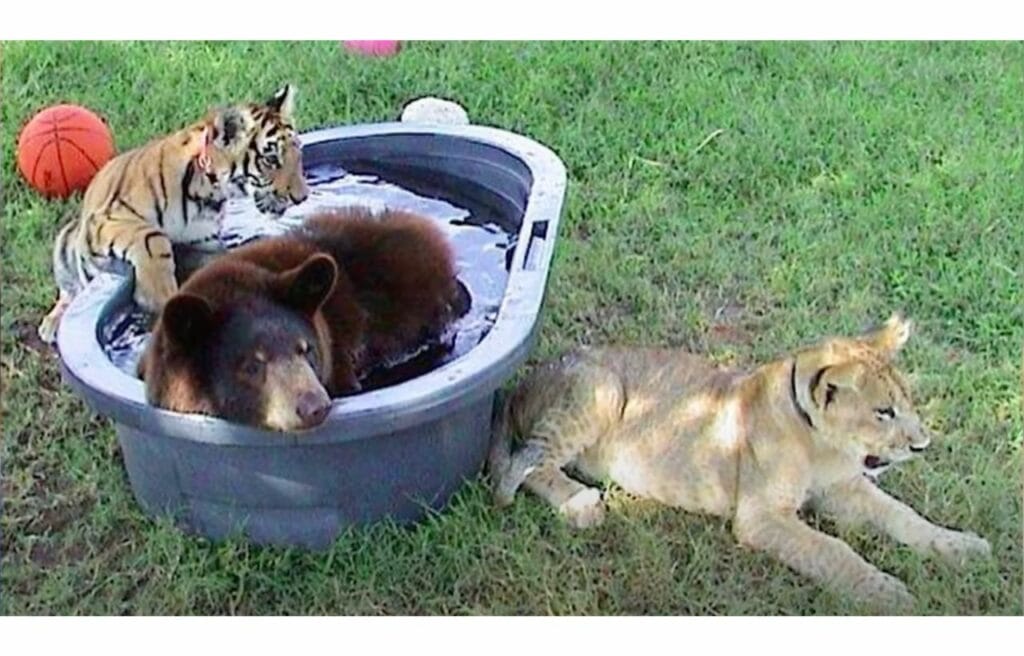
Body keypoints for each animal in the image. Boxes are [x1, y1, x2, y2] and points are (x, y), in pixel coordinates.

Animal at [37, 85, 309, 345]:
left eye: (298, 154)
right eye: (271, 160)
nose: (302, 197)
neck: (207, 191)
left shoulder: (203, 245)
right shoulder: (107, 218)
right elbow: (151, 236)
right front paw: (157, 294)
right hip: (67, 242)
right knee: (68, 292)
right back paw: (51, 324)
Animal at [488, 314, 992, 611]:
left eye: (906, 403)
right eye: (883, 412)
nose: (923, 444)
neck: (820, 443)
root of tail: (523, 382)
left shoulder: (845, 487)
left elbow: (903, 516)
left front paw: (962, 547)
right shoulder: (760, 517)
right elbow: (832, 550)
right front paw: (887, 592)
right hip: (602, 389)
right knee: (521, 466)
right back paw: (580, 504)